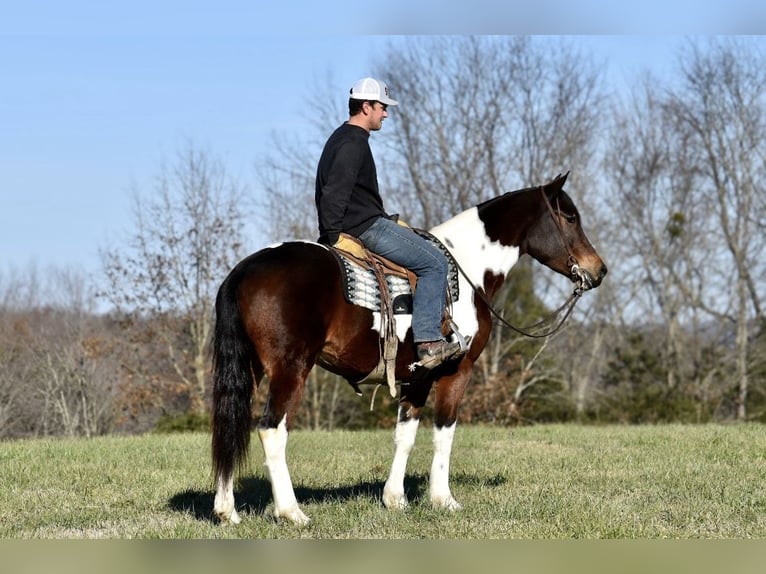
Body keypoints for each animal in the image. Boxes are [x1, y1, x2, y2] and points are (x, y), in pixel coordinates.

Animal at [210, 172, 608, 528]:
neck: (467, 268)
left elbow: (406, 434)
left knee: (232, 426)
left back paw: (228, 511)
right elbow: (443, 433)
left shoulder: (418, 376)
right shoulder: (456, 371)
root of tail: (244, 269)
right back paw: (291, 512)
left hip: (251, 371)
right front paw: (443, 499)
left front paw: (395, 499)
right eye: (570, 217)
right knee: (271, 430)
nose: (599, 270)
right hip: (290, 370)